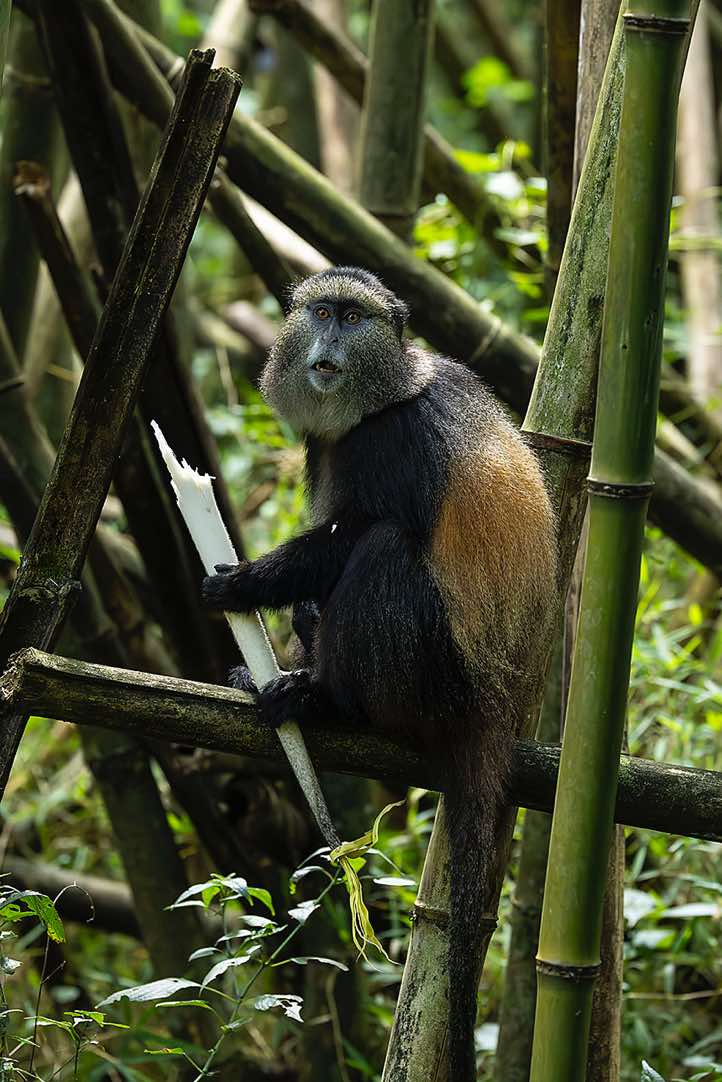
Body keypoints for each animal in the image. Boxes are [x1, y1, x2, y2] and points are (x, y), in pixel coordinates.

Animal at [202, 266, 557, 1081]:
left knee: (385, 546)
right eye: (322, 312)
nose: (327, 346)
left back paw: (331, 703)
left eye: (353, 318)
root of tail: (498, 709)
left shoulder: (393, 444)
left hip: (432, 680)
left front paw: (245, 585)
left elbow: (352, 536)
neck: (383, 394)